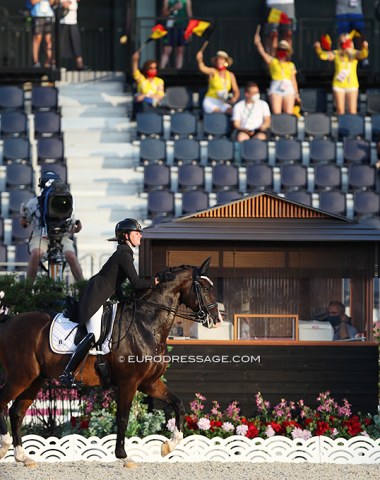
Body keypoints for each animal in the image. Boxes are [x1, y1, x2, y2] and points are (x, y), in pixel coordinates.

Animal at [0, 260, 220, 466]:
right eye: (205, 288)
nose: (216, 320)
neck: (146, 324)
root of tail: (8, 322)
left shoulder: (149, 383)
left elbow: (178, 404)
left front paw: (169, 446)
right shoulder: (128, 383)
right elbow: (122, 418)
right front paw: (123, 456)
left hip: (35, 380)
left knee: (16, 412)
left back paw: (22, 456)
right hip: (21, 377)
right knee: (4, 403)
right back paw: (5, 445)